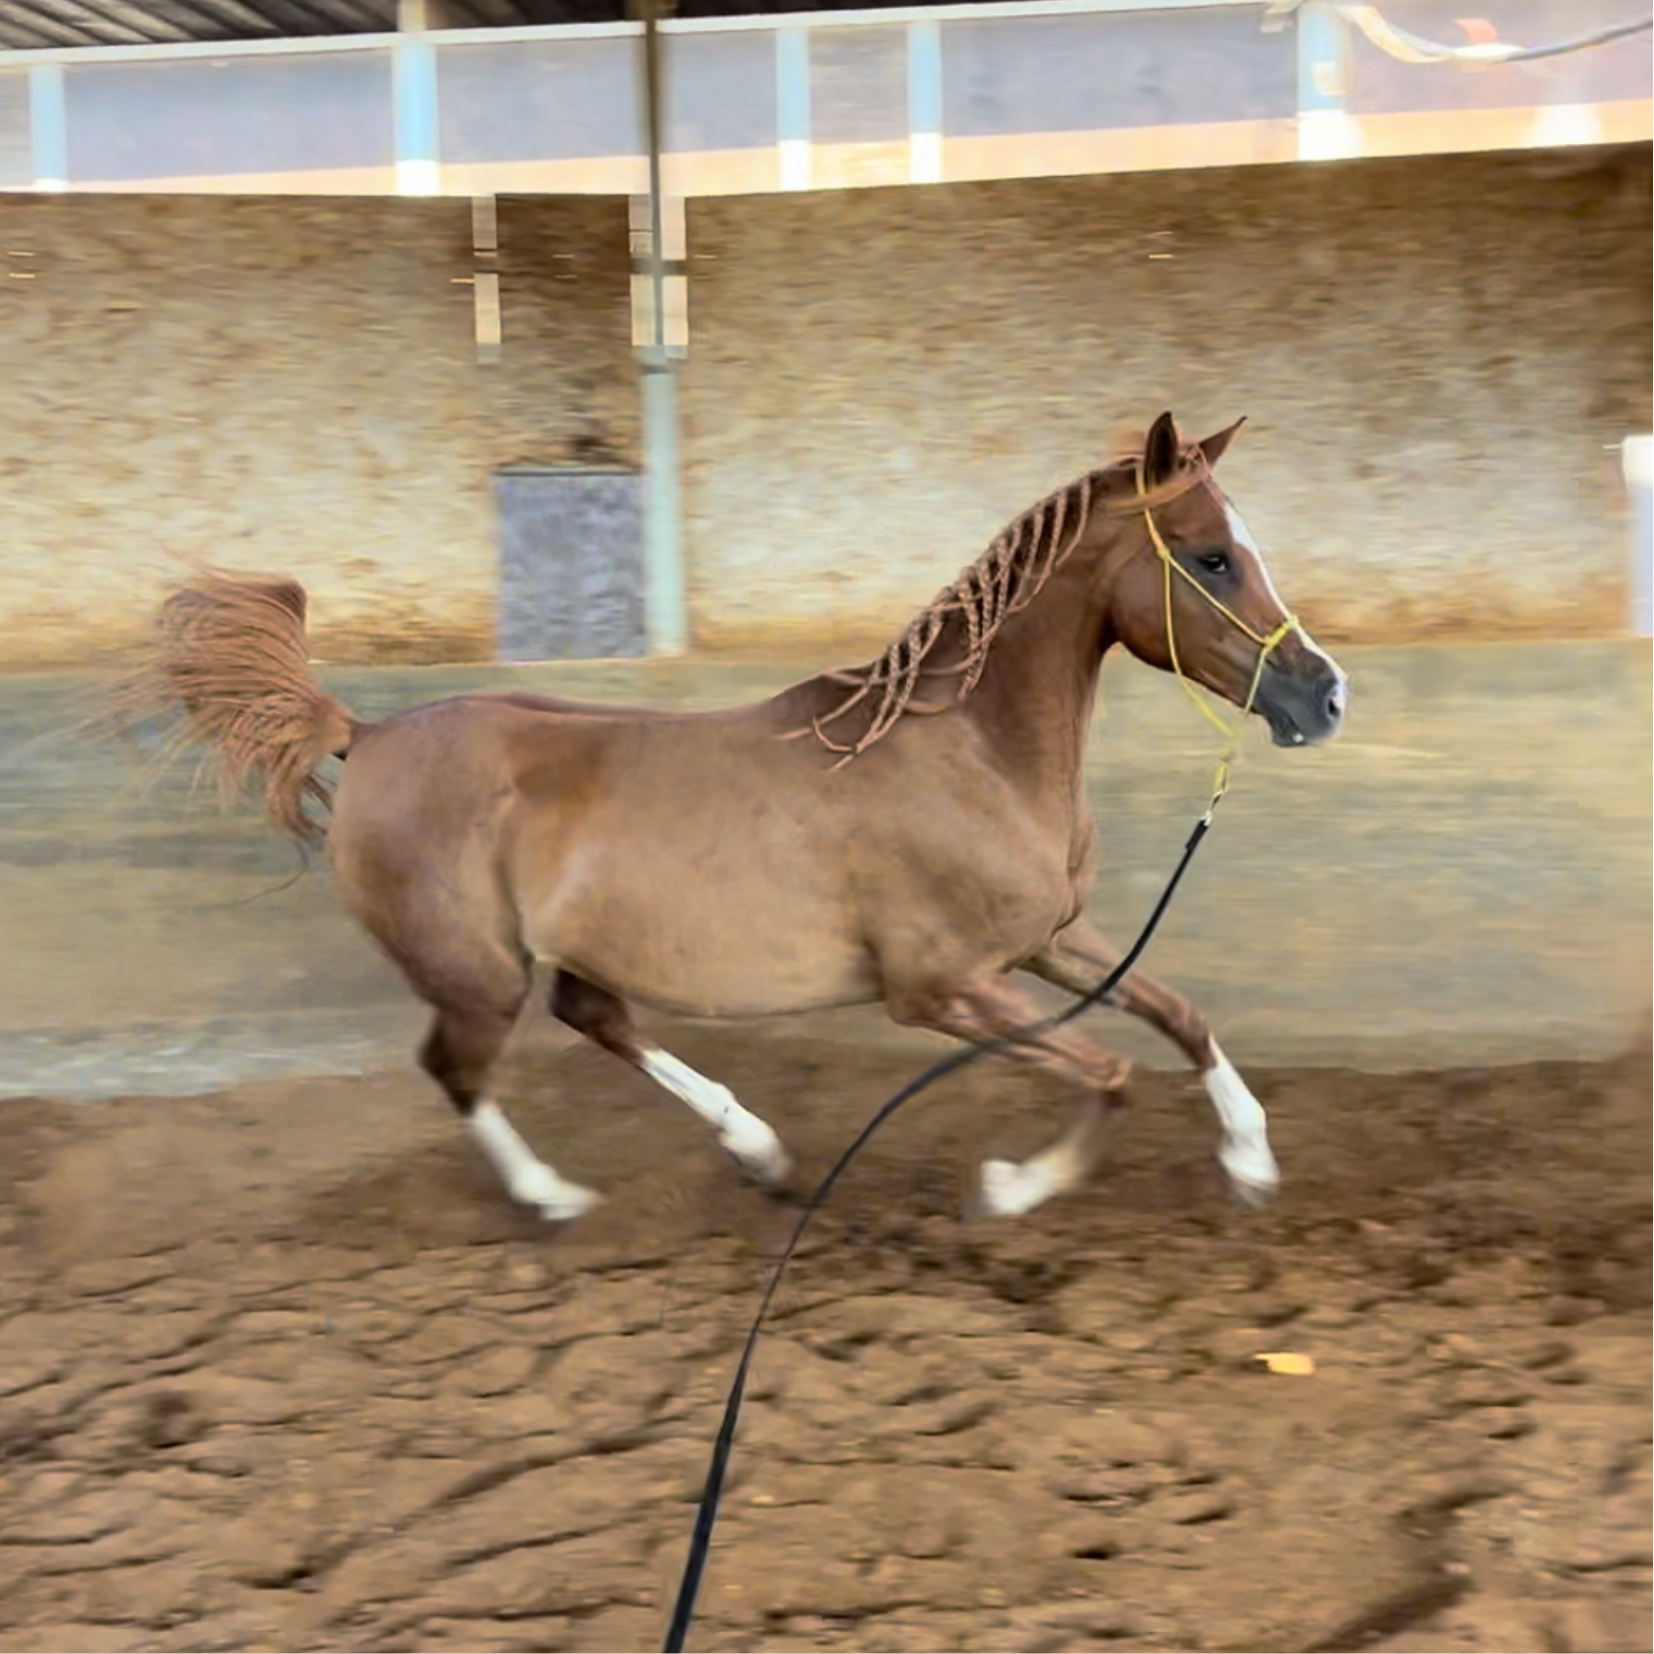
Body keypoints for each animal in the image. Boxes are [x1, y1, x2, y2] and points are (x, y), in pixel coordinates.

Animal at [116, 411, 1347, 1223]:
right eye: (1210, 557)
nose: (1323, 694)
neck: (969, 750)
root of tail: (364, 735)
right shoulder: (939, 987)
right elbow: (1104, 1071)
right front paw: (1012, 1187)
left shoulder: (1049, 939)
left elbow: (1180, 1014)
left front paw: (1251, 1161)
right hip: (476, 974)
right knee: (463, 1066)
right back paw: (556, 1195)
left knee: (590, 1015)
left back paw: (756, 1150)